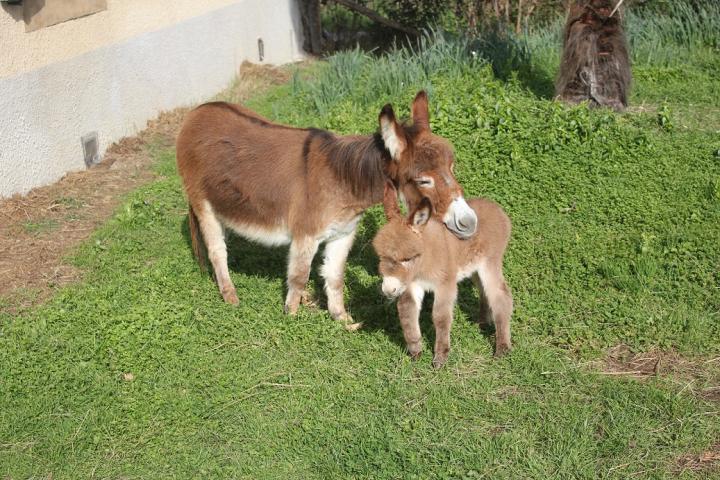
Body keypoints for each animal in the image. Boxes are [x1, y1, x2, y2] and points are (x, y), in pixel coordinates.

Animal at [372, 181, 512, 368]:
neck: (425, 260)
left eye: (407, 258)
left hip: (490, 262)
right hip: (474, 268)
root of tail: (496, 207)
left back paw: (502, 349)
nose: (388, 290)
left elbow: (440, 317)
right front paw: (416, 352)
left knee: (500, 295)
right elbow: (407, 311)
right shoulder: (411, 284)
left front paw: (440, 358)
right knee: (484, 292)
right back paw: (481, 323)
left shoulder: (445, 283)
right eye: (381, 256)